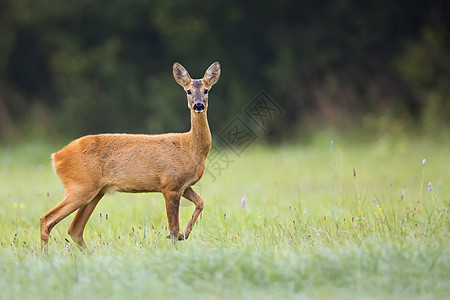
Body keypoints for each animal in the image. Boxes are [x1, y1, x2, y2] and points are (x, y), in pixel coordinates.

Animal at [41, 61, 221, 251]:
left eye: (206, 90)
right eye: (188, 91)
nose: (198, 105)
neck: (191, 147)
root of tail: (56, 157)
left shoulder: (183, 186)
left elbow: (201, 202)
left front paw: (183, 235)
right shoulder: (170, 184)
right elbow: (172, 227)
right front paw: (176, 245)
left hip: (95, 191)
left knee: (74, 230)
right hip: (80, 186)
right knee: (47, 220)